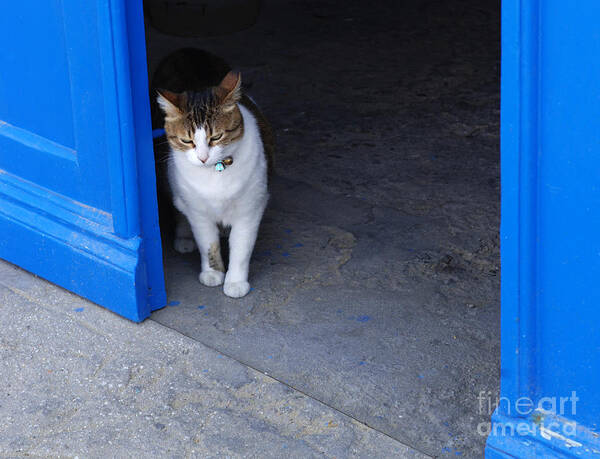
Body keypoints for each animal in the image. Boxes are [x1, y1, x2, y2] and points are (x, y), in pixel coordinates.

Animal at [154, 49, 274, 298]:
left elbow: (241, 249)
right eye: (187, 141)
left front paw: (235, 282)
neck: (216, 171)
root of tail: (186, 50)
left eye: (216, 137)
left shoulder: (250, 209)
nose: (202, 157)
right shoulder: (199, 213)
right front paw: (213, 273)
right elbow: (208, 244)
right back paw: (184, 236)